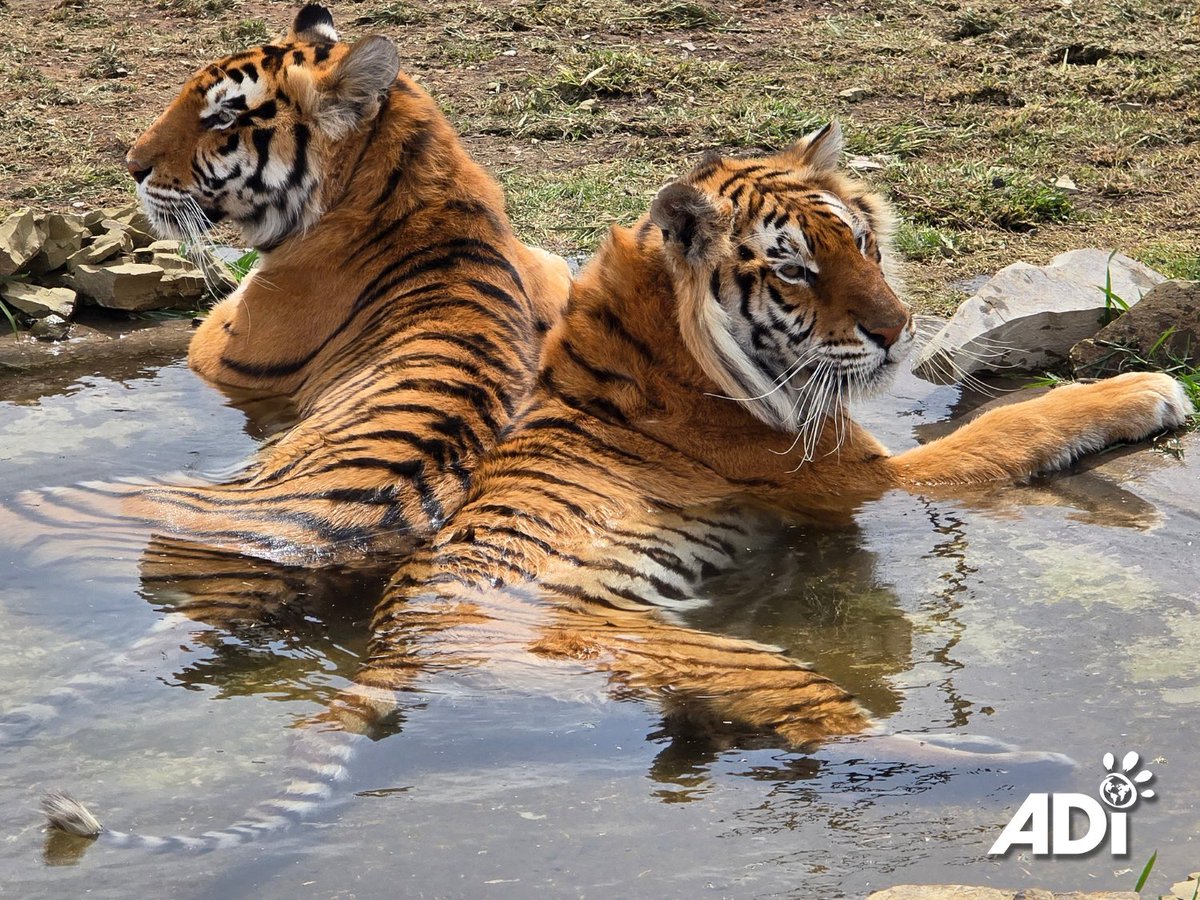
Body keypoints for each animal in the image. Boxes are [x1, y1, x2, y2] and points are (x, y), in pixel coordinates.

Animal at [43, 123, 1192, 850]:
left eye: (861, 241)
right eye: (795, 269)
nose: (896, 329)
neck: (668, 324)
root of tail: (395, 640)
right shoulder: (869, 473)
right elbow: (1019, 421)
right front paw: (1149, 388)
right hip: (724, 655)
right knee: (832, 726)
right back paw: (1036, 763)